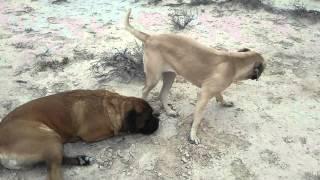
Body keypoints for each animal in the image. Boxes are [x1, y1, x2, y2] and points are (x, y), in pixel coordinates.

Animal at [0, 90, 159, 180]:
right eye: (147, 119)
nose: (158, 119)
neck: (113, 106)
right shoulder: (94, 134)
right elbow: (114, 132)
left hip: (53, 142)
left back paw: (81, 160)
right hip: (50, 137)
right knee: (54, 171)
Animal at [124, 9, 264, 145]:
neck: (235, 62)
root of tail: (150, 37)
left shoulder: (214, 89)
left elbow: (220, 95)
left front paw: (225, 103)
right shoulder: (203, 95)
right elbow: (197, 119)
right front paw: (193, 135)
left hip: (170, 76)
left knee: (162, 94)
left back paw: (169, 111)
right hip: (154, 77)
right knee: (144, 91)